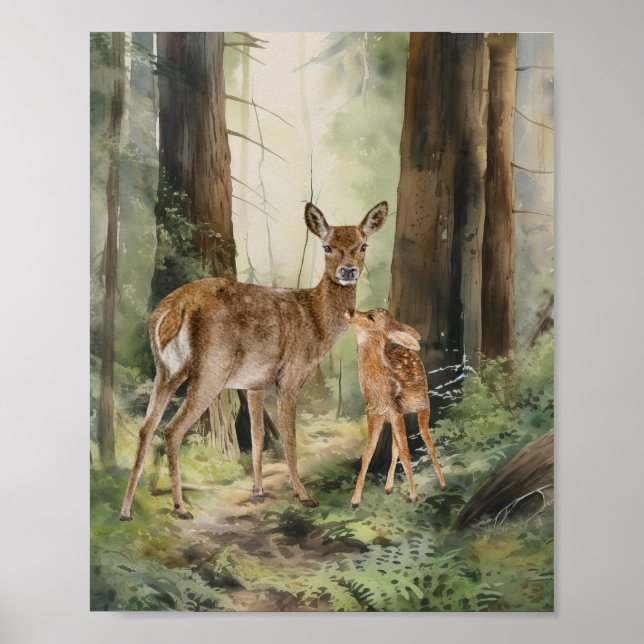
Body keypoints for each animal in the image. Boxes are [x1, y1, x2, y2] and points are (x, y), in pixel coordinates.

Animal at [119, 201, 388, 521]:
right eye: (327, 246)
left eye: (363, 245)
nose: (348, 271)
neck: (317, 323)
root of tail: (170, 311)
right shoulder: (289, 376)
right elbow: (289, 438)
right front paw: (304, 496)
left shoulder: (255, 383)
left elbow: (258, 436)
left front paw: (257, 491)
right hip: (211, 368)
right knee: (172, 430)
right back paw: (180, 507)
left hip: (166, 370)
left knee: (146, 428)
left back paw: (126, 510)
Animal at [344, 308, 447, 508]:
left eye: (370, 317)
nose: (350, 311)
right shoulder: (373, 413)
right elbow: (368, 454)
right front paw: (355, 500)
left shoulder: (395, 411)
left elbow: (406, 453)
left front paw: (413, 496)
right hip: (398, 415)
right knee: (395, 447)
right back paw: (388, 487)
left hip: (423, 405)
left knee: (428, 441)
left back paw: (443, 484)